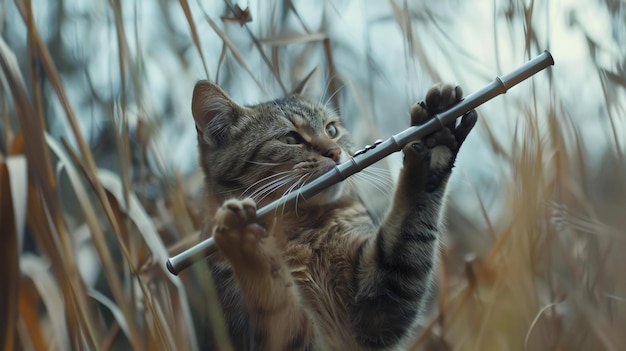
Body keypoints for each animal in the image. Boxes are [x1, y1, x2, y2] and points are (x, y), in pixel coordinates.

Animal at [193, 77, 476, 351]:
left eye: (331, 130)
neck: (303, 229)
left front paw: (436, 141)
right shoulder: (286, 338)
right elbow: (274, 300)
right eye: (290, 139)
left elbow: (409, 230)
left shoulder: (379, 308)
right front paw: (245, 244)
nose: (335, 152)